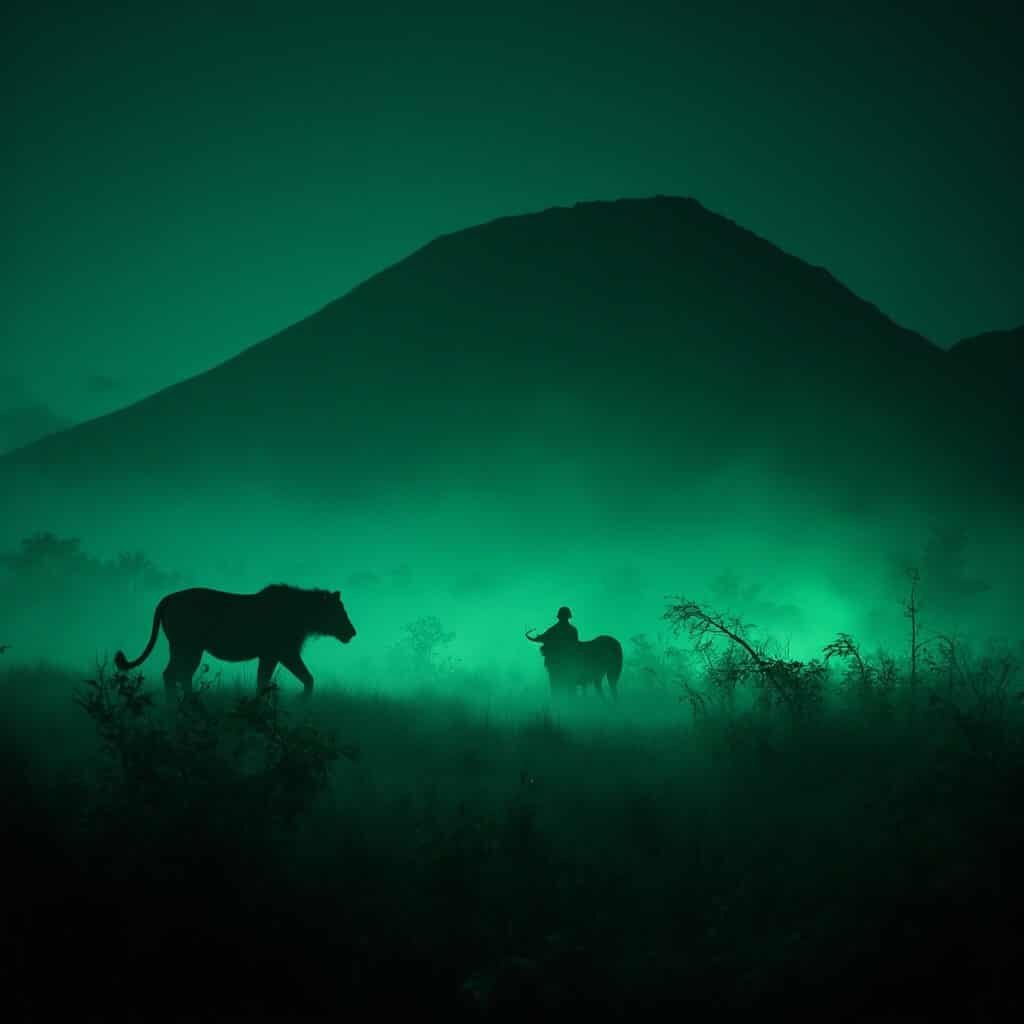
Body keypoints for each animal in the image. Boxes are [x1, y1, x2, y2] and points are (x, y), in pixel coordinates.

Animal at [114, 584, 357, 695]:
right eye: (339, 611)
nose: (352, 632)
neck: (305, 614)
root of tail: (166, 599)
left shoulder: (269, 655)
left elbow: (262, 682)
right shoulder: (285, 652)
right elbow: (308, 679)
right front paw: (300, 701)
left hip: (183, 648)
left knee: (176, 675)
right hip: (189, 647)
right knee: (176, 675)